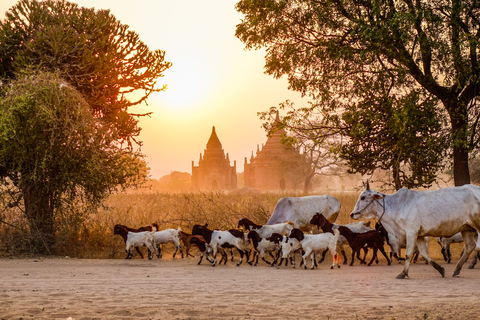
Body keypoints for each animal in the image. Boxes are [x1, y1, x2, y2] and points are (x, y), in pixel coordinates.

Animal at [350, 181, 480, 278]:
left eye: (363, 197)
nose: (352, 214)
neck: (397, 206)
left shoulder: (411, 233)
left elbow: (408, 254)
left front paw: (403, 273)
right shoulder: (419, 235)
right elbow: (423, 253)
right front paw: (440, 269)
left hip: (477, 226)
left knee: (476, 247)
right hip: (467, 228)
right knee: (470, 247)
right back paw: (457, 269)